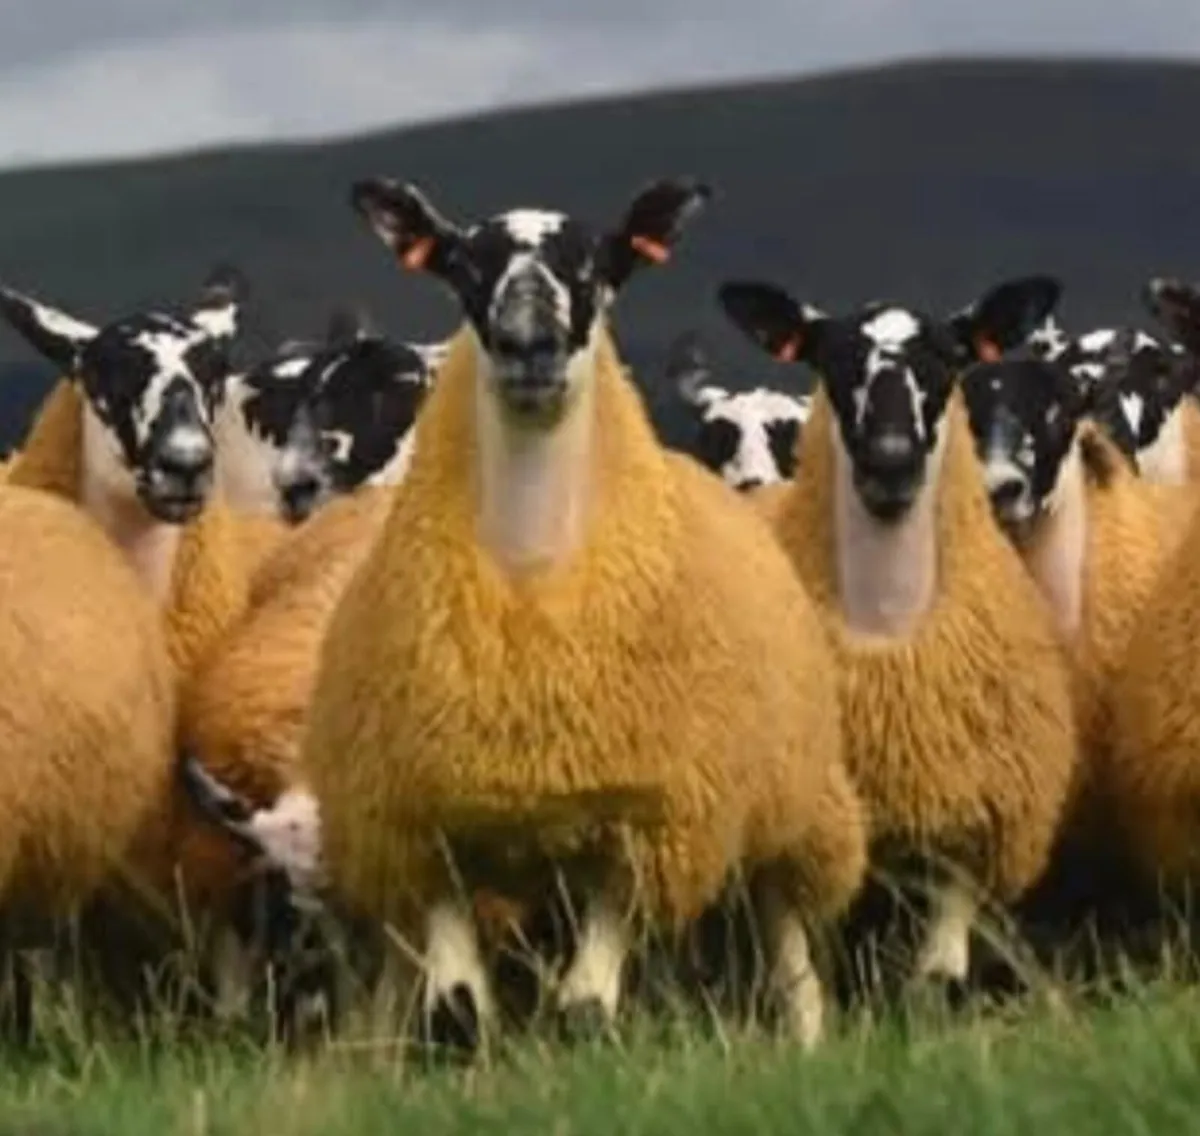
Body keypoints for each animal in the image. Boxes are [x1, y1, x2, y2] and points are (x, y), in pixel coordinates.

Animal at [281, 175, 868, 1053]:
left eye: (595, 265)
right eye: (465, 265)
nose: (531, 343)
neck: (532, 592)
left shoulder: (645, 831)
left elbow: (586, 1007)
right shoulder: (427, 828)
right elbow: (457, 1008)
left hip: (789, 814)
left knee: (791, 960)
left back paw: (804, 1043)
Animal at [717, 277, 1078, 992]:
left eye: (945, 361)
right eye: (833, 361)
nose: (890, 463)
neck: (887, 639)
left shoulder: (971, 821)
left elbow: (938, 973)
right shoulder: (797, 831)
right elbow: (801, 983)